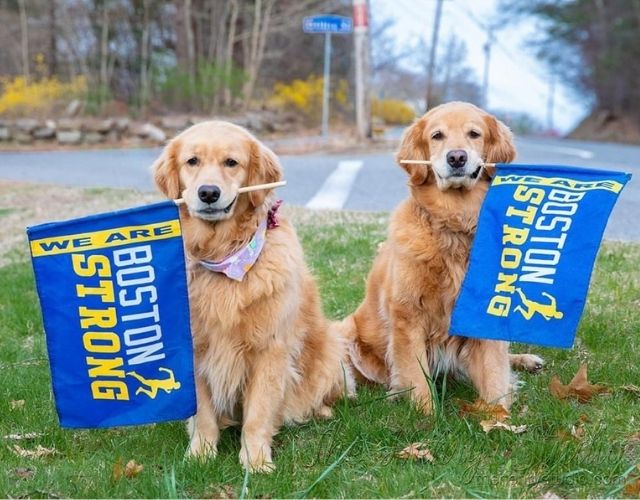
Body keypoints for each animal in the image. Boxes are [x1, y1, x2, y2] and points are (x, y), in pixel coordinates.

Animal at [153, 121, 358, 472]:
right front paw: (200, 454)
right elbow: (203, 414)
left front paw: (256, 461)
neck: (224, 256)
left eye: (231, 163)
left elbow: (258, 414)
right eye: (192, 161)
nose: (208, 192)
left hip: (331, 351)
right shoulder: (195, 350)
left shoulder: (270, 350)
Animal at [342, 101, 544, 414]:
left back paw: (526, 360)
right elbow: (416, 377)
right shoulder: (407, 315)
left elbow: (495, 375)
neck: (455, 225)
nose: (457, 157)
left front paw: (498, 417)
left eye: (474, 134)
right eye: (437, 136)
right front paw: (426, 415)